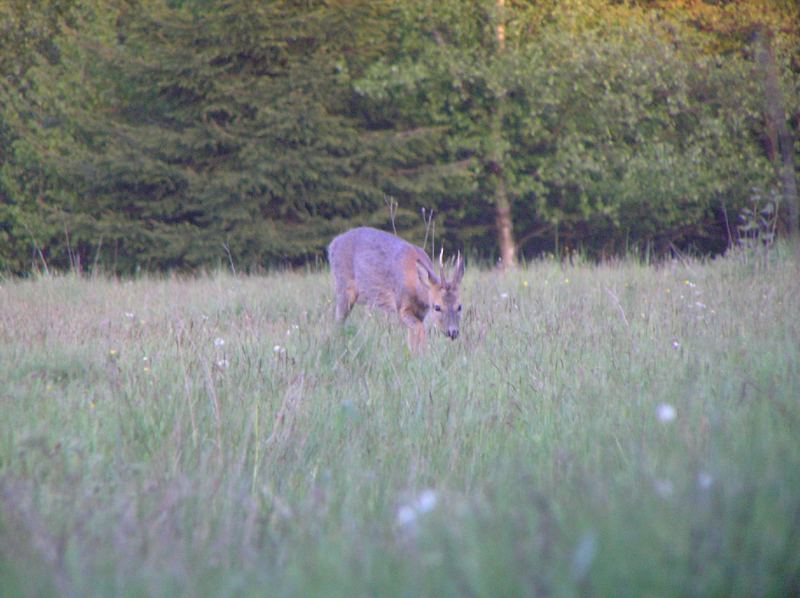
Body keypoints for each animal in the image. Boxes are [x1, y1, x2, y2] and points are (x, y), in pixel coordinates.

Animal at [324, 229, 462, 352]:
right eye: (437, 307)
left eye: (460, 306)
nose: (453, 332)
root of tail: (332, 245)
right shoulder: (401, 305)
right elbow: (420, 329)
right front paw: (423, 354)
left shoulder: (421, 313)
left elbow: (412, 337)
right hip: (344, 286)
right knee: (338, 320)